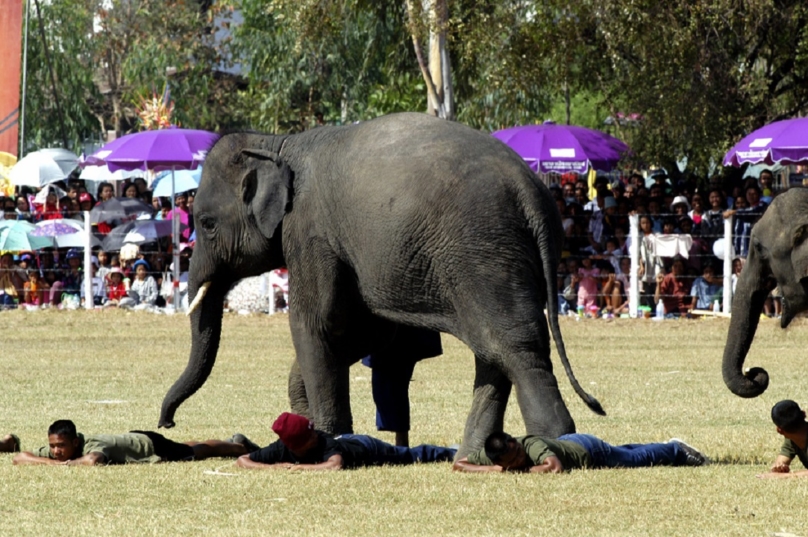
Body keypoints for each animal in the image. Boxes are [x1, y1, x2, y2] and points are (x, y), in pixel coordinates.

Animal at [158, 112, 604, 452]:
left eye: (206, 223)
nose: (167, 423)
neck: (278, 142)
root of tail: (531, 195)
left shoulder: (310, 231)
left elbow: (318, 323)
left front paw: (328, 436)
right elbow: (367, 331)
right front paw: (302, 424)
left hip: (484, 252)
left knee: (514, 346)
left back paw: (555, 441)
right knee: (493, 349)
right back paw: (475, 451)